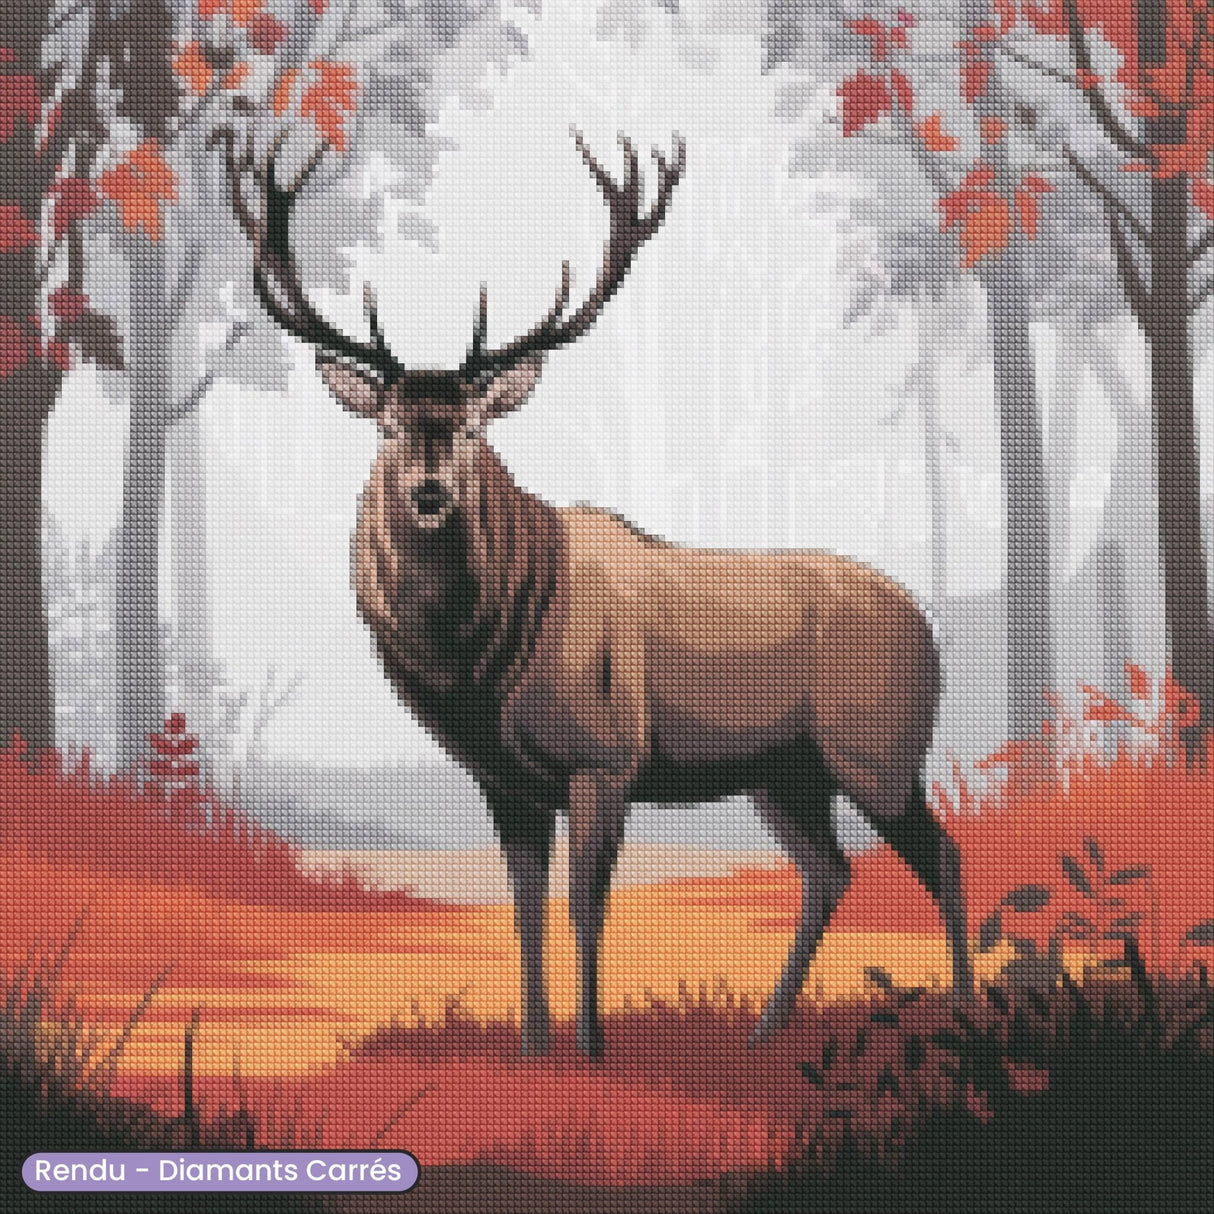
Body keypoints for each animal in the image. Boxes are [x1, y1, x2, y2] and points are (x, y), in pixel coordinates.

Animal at [222, 128, 973, 1058]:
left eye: (470, 425)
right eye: (391, 425)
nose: (429, 492)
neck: (486, 665)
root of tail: (931, 631)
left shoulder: (605, 755)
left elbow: (585, 907)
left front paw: (590, 1047)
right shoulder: (505, 780)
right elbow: (525, 912)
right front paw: (533, 1047)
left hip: (875, 747)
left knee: (941, 857)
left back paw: (968, 1008)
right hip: (783, 772)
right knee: (829, 872)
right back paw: (765, 1030)